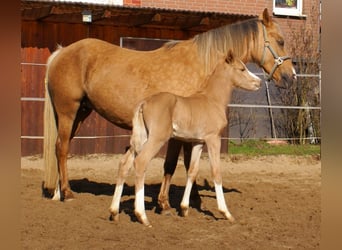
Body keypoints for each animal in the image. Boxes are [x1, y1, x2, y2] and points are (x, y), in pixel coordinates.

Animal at [42, 8, 294, 201]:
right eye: (280, 41)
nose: (291, 76)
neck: (202, 66)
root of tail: (61, 52)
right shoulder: (182, 132)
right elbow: (176, 163)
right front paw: (173, 201)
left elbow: (181, 165)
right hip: (68, 111)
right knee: (62, 148)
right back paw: (67, 192)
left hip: (80, 112)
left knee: (59, 147)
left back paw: (57, 192)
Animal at [109, 51, 262, 227]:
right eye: (242, 69)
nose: (259, 82)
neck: (212, 100)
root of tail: (144, 103)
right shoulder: (213, 139)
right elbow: (216, 172)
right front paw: (226, 213)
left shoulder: (198, 143)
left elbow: (192, 171)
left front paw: (184, 209)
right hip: (156, 138)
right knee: (140, 162)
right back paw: (142, 216)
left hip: (140, 139)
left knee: (124, 164)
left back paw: (114, 212)